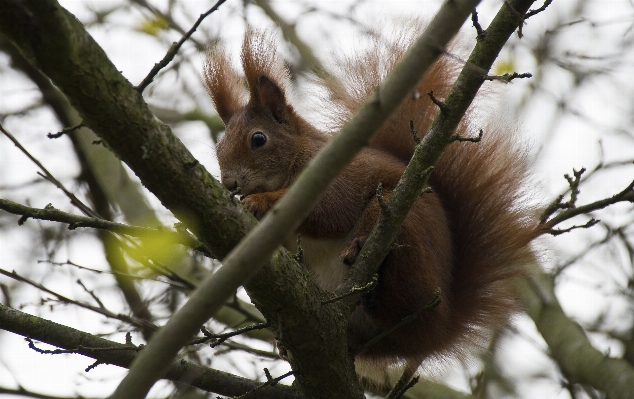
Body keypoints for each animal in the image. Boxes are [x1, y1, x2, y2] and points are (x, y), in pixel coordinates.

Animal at [205, 30, 540, 376]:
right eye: (219, 146)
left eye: (258, 139)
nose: (229, 183)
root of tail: (439, 329)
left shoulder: (339, 174)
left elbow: (330, 211)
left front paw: (260, 201)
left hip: (405, 227)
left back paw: (366, 260)